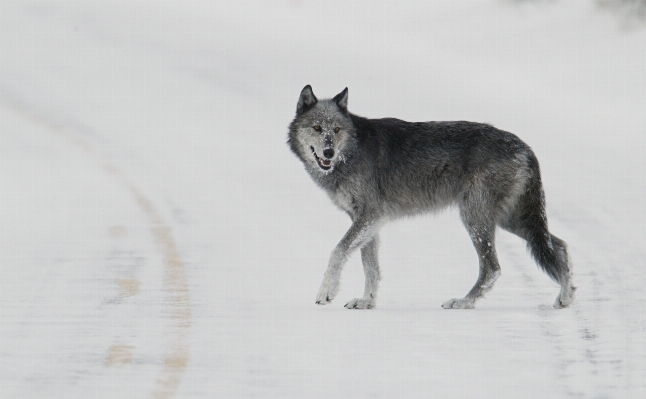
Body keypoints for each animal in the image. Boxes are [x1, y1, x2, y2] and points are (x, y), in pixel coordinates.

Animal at [288, 85, 576, 310]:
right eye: (317, 127)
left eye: (336, 130)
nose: (328, 152)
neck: (352, 151)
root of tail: (525, 147)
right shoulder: (367, 220)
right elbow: (370, 266)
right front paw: (366, 301)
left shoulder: (370, 215)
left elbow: (338, 251)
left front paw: (326, 291)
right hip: (512, 221)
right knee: (560, 246)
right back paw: (565, 297)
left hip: (476, 218)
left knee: (493, 268)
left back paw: (463, 302)